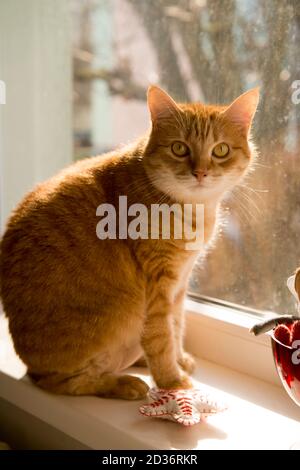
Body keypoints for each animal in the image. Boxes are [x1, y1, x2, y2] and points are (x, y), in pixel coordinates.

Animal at [0, 86, 258, 398]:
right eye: (179, 148)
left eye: (220, 150)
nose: (200, 173)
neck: (194, 210)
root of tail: (28, 365)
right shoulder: (158, 286)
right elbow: (161, 337)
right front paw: (172, 380)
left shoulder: (179, 284)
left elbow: (177, 326)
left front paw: (179, 360)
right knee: (66, 382)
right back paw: (124, 384)